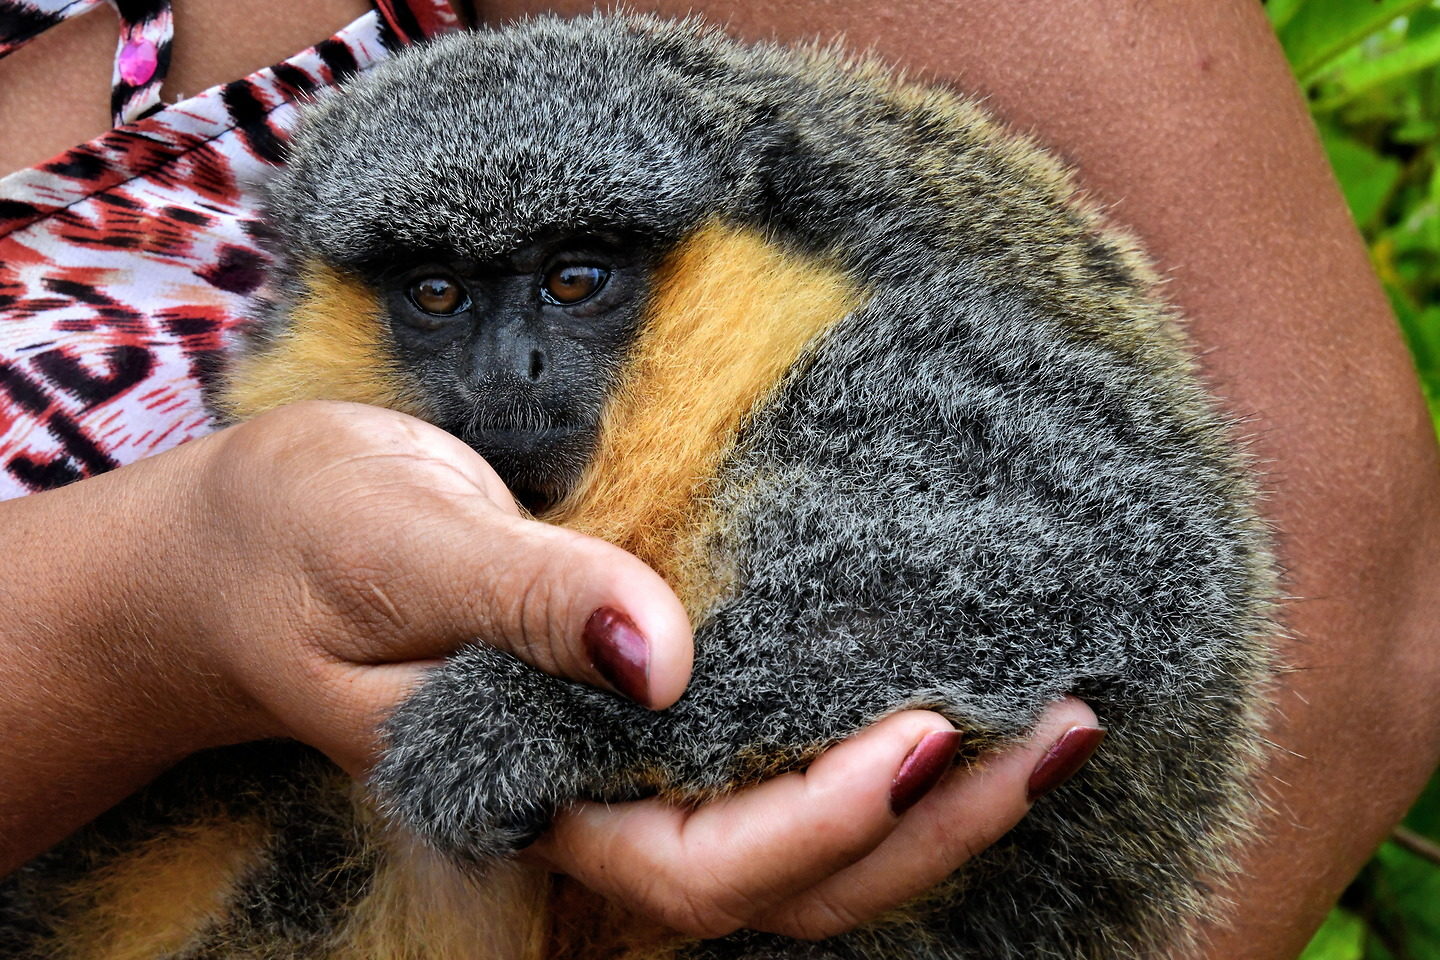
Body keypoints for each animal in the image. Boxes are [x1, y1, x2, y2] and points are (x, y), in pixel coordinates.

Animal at [0, 13, 1279, 960]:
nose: (509, 368)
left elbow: (1106, 556)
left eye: (574, 279)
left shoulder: (905, 346)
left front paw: (554, 716)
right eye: (437, 294)